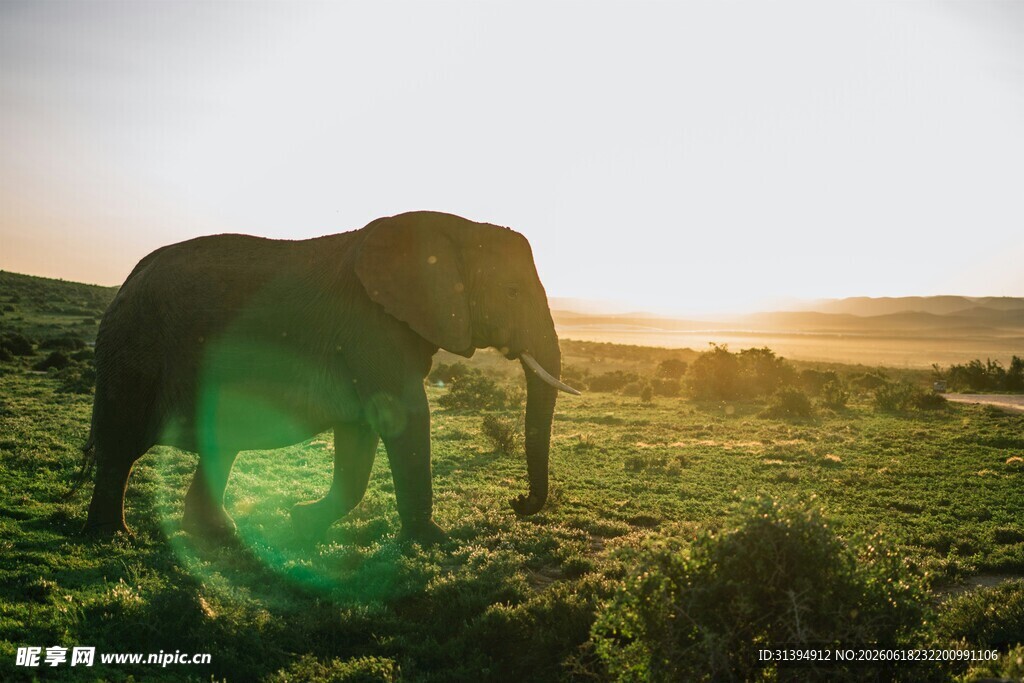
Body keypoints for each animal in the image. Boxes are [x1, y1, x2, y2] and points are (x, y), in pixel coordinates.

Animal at [81, 210, 579, 543]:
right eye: (511, 292)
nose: (517, 503)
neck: (452, 227)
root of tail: (129, 278)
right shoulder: (370, 327)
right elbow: (406, 417)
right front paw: (436, 542)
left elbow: (361, 434)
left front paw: (300, 518)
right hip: (136, 349)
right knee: (122, 446)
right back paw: (113, 537)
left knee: (220, 443)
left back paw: (219, 534)